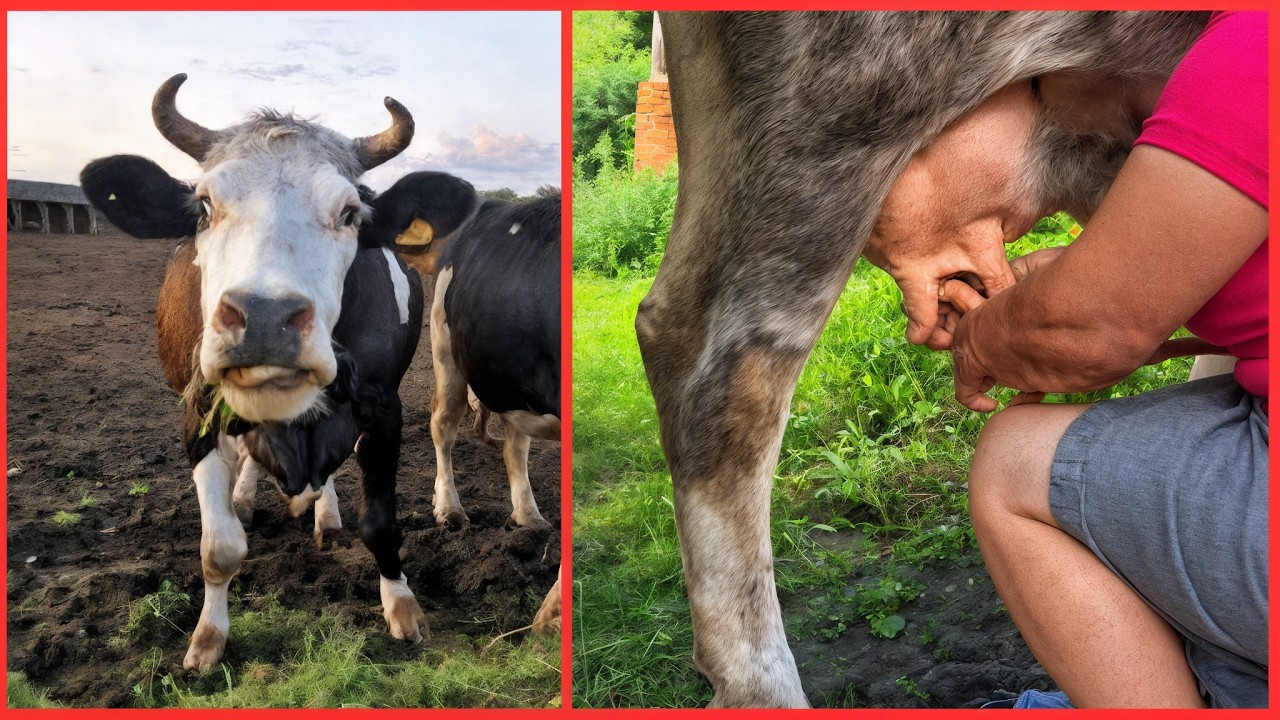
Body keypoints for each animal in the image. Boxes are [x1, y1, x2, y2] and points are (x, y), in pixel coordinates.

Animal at [80, 73, 479, 672]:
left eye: (350, 212)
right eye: (204, 206)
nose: (265, 318)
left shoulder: (383, 407)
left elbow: (380, 524)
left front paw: (402, 606)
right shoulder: (197, 413)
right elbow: (219, 548)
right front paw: (208, 638)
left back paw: (322, 513)